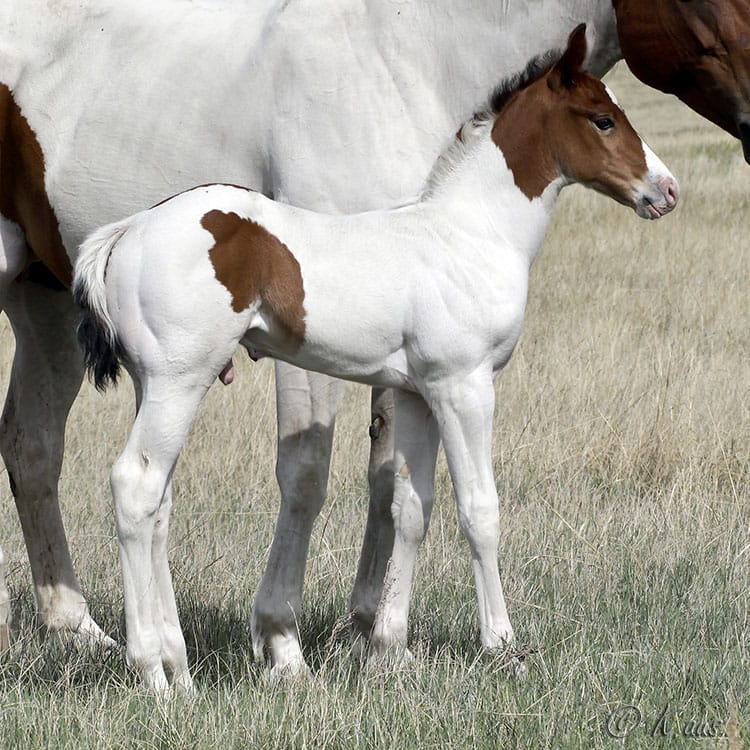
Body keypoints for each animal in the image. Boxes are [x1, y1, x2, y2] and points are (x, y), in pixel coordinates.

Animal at [73, 27, 680, 700]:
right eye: (603, 119)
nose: (667, 191)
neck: (469, 234)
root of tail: (127, 232)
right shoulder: (464, 386)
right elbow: (480, 510)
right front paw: (504, 648)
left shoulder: (418, 392)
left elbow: (411, 508)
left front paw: (392, 652)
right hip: (179, 381)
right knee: (135, 487)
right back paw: (152, 673)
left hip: (156, 385)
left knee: (159, 506)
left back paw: (180, 671)